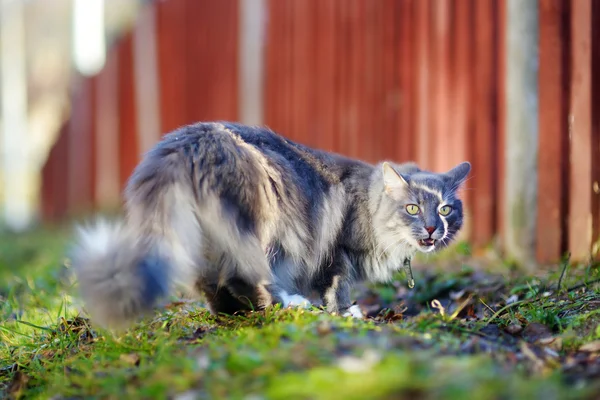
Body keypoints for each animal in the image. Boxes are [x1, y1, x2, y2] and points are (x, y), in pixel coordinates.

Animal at [70, 121, 472, 328]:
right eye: (413, 208)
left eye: (446, 210)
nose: (433, 229)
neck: (368, 202)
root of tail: (192, 139)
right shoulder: (339, 253)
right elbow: (339, 288)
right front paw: (346, 314)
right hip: (263, 223)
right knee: (246, 275)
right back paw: (288, 305)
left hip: (210, 240)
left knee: (212, 283)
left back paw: (233, 312)